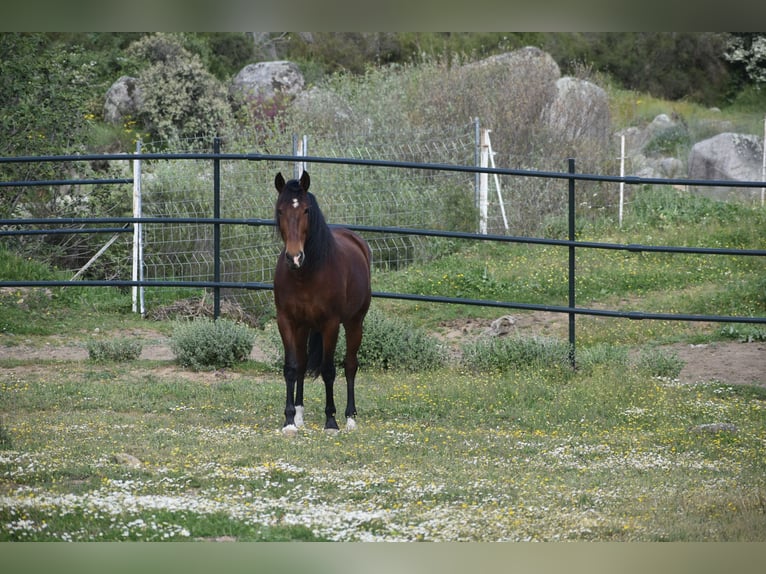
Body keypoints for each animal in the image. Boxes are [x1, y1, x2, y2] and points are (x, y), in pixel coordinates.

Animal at [272, 171, 372, 435]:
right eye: (280, 210)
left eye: (306, 210)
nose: (294, 257)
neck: (305, 274)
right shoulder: (286, 321)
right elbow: (292, 367)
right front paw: (289, 421)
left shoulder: (331, 324)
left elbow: (329, 370)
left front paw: (331, 422)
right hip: (304, 327)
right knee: (302, 364)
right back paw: (299, 415)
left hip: (354, 323)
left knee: (350, 365)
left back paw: (350, 418)